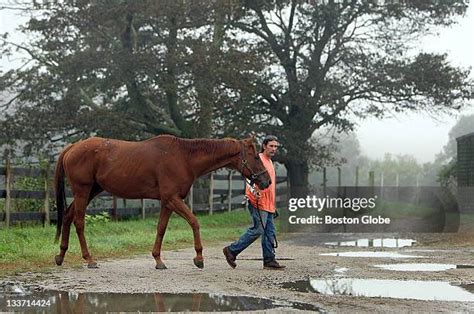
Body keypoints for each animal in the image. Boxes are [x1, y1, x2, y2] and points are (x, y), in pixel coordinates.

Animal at [53, 134, 270, 268]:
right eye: (255, 157)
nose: (266, 181)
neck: (183, 157)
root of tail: (72, 147)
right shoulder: (173, 199)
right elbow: (194, 222)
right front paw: (199, 258)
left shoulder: (167, 202)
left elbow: (161, 228)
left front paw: (158, 260)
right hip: (82, 190)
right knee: (79, 222)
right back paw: (89, 259)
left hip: (92, 190)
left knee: (68, 216)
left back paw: (60, 256)